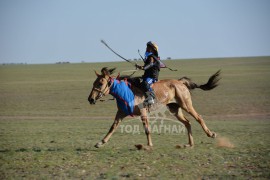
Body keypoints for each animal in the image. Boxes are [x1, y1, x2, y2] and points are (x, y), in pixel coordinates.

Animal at [87, 67, 220, 148]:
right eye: (94, 83)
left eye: (100, 83)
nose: (90, 99)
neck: (126, 92)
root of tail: (180, 82)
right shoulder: (121, 113)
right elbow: (112, 127)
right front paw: (100, 142)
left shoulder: (143, 112)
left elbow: (147, 129)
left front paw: (149, 144)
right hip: (175, 109)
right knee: (187, 123)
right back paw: (190, 144)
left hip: (186, 105)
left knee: (198, 117)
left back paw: (211, 134)